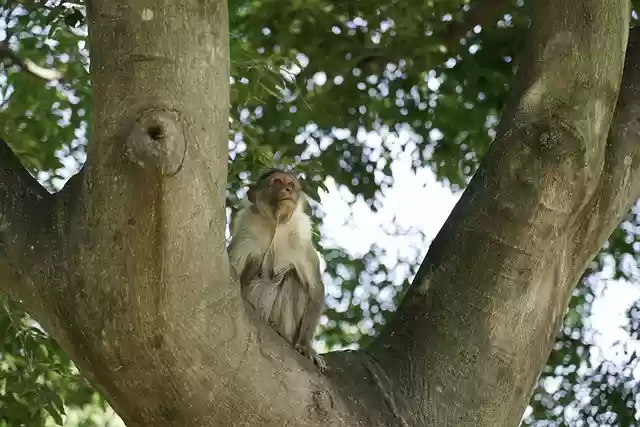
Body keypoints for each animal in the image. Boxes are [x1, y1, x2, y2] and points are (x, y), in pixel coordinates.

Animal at [228, 168, 327, 372]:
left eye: (291, 183)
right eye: (277, 181)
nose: (287, 189)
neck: (276, 222)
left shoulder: (301, 238)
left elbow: (315, 287)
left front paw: (306, 345)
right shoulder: (245, 231)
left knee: (291, 277)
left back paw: (278, 329)